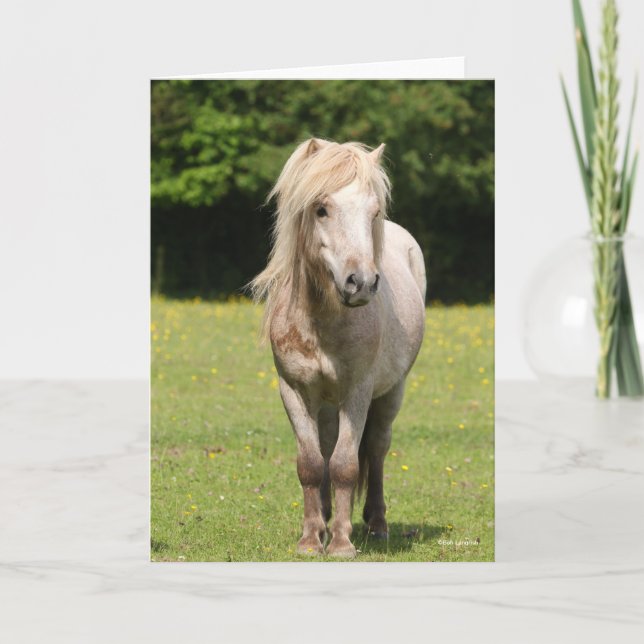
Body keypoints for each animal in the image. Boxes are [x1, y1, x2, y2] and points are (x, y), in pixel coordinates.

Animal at [251, 138, 426, 558]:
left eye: (374, 211)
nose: (360, 282)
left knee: (375, 449)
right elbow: (311, 463)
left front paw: (343, 543)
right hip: (327, 402)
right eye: (321, 209)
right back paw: (327, 518)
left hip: (391, 392)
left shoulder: (358, 392)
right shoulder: (293, 391)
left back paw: (376, 525)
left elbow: (347, 463)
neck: (321, 320)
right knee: (327, 448)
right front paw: (311, 539)